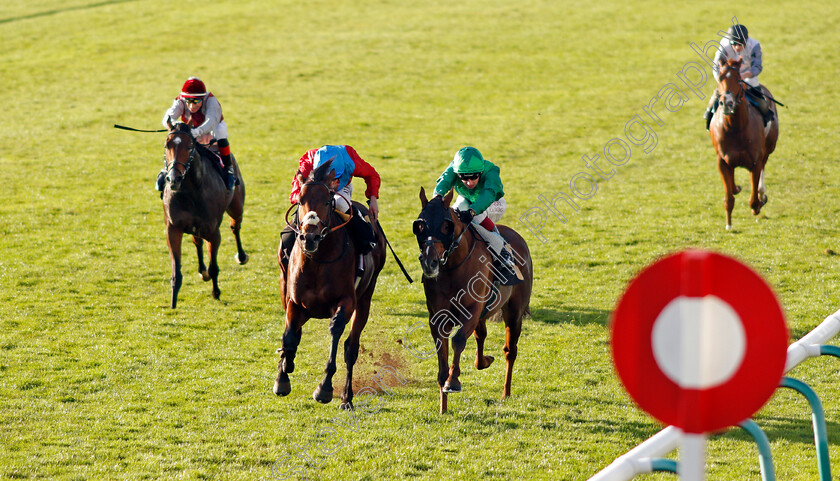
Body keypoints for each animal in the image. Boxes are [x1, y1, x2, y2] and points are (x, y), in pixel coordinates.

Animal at [161, 120, 246, 308]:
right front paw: (173, 303)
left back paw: (242, 256)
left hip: (236, 206)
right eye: (167, 145)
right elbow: (176, 271)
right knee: (197, 241)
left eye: (189, 146)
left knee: (235, 227)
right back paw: (202, 271)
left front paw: (216, 293)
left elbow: (214, 266)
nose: (174, 179)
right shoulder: (173, 229)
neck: (190, 190)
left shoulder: (213, 232)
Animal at [276, 159, 388, 406]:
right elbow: (289, 337)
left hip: (365, 298)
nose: (310, 237)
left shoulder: (346, 301)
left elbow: (336, 332)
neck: (317, 261)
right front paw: (282, 376)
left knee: (351, 347)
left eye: (327, 201)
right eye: (300, 201)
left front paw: (324, 388)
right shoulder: (294, 302)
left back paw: (347, 397)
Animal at [412, 188, 532, 412]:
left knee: (510, 351)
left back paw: (506, 392)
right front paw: (443, 404)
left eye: (446, 225)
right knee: (481, 336)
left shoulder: (472, 311)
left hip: (514, 313)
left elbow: (458, 340)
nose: (429, 262)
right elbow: (442, 355)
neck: (453, 267)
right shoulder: (438, 318)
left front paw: (453, 381)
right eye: (420, 225)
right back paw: (484, 360)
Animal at [712, 57, 776, 230]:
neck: (736, 129)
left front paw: (759, 202)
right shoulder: (722, 161)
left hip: (769, 148)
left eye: (739, 79)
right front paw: (728, 224)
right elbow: (729, 197)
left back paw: (761, 193)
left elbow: (753, 201)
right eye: (720, 77)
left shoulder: (755, 161)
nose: (727, 102)